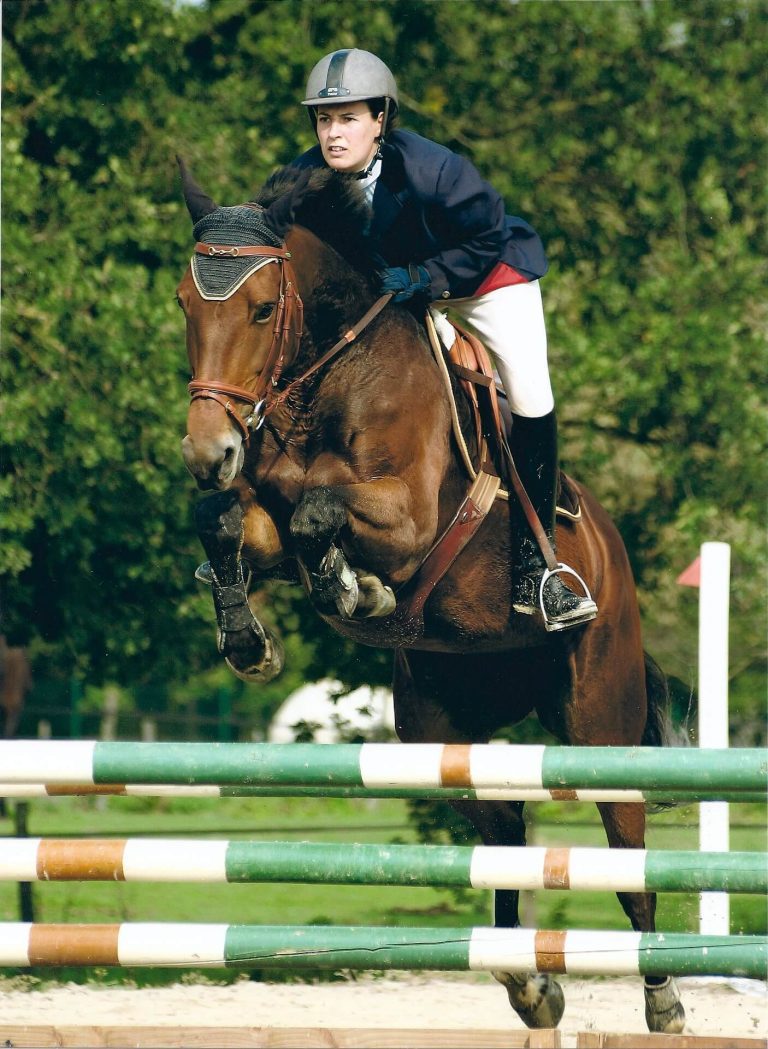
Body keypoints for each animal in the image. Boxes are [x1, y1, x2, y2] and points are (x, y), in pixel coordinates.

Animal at [177, 163, 688, 1032]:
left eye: (263, 307)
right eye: (185, 301)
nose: (207, 450)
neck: (331, 380)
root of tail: (613, 563)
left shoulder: (411, 516)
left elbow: (319, 512)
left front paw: (353, 587)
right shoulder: (261, 507)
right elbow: (228, 520)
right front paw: (251, 638)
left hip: (597, 720)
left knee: (628, 859)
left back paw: (663, 1001)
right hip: (439, 728)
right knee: (505, 828)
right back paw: (529, 984)